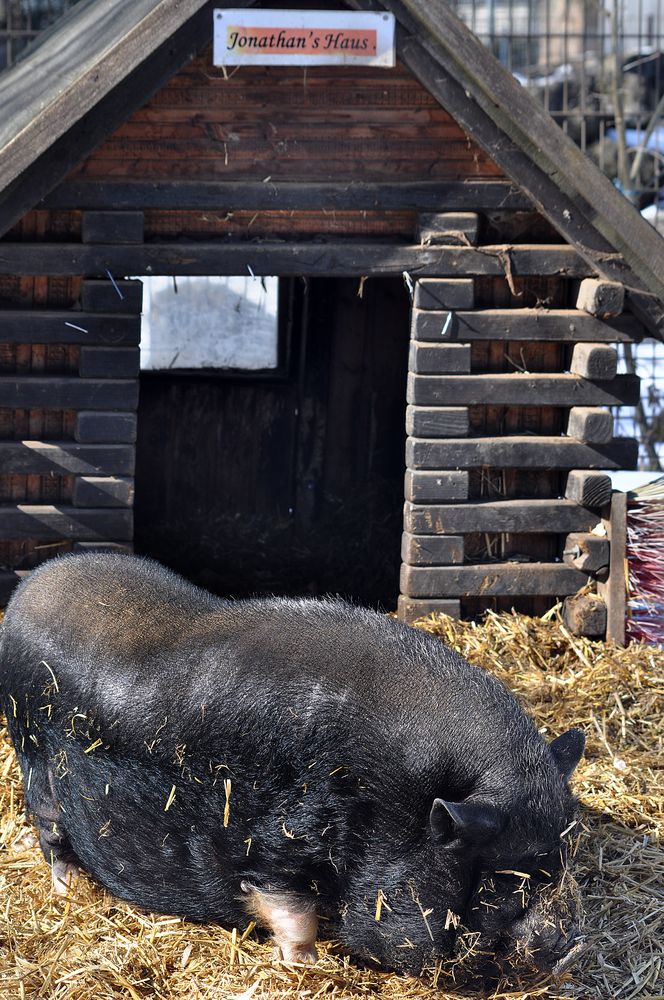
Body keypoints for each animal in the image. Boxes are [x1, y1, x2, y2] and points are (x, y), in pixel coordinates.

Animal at [0, 556, 584, 976]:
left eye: (559, 856)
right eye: (501, 877)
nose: (565, 941)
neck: (390, 804)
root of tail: (30, 587)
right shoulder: (274, 842)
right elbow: (287, 908)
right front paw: (308, 964)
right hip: (34, 759)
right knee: (51, 833)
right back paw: (70, 888)